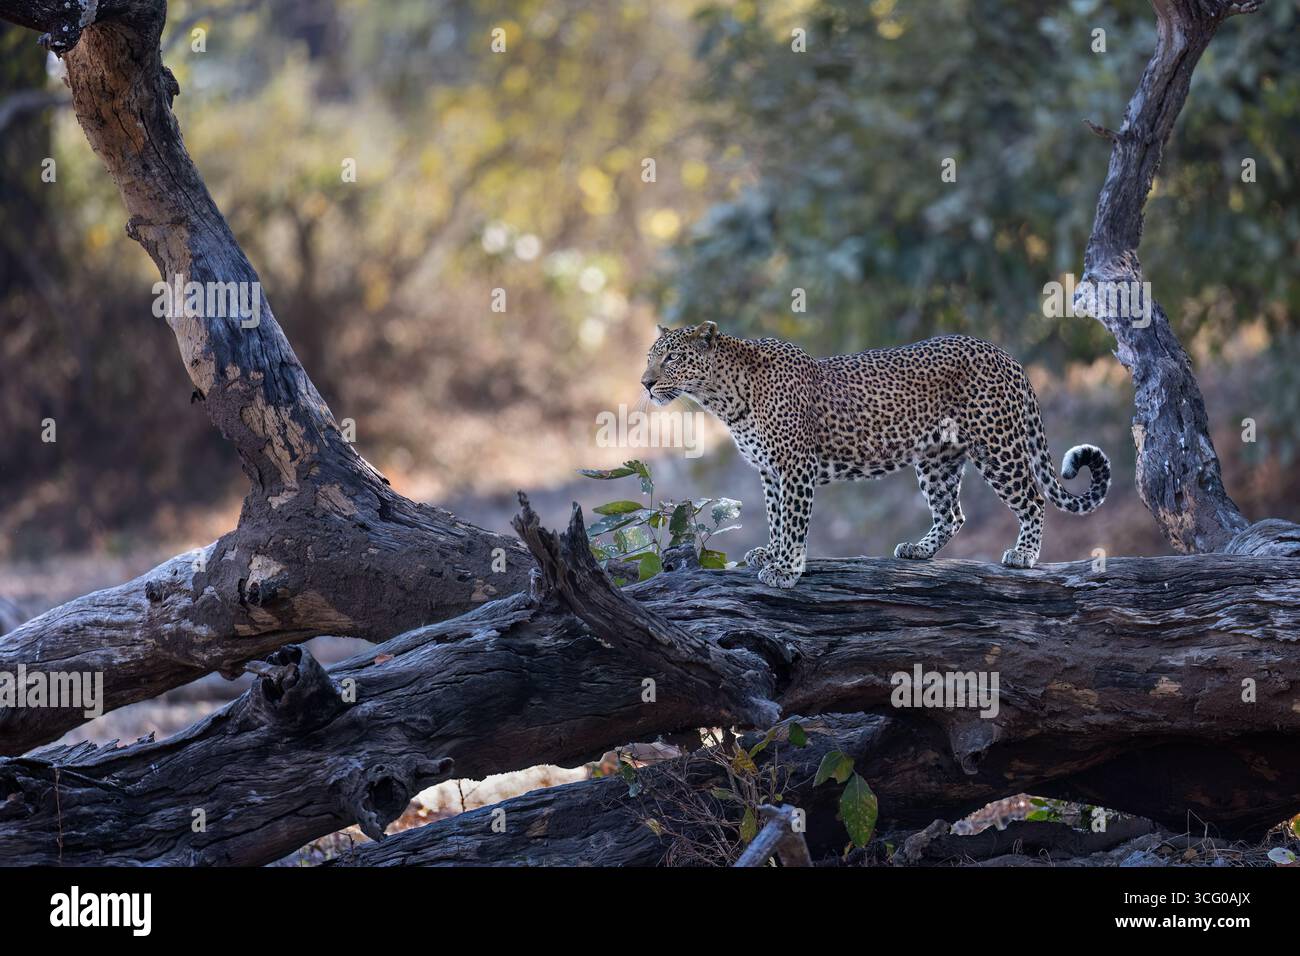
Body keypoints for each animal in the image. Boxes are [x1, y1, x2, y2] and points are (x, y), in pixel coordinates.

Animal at [641, 322, 1110, 588]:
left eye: (672, 357)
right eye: (650, 357)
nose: (645, 383)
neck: (723, 397)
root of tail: (1004, 354)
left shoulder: (795, 467)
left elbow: (793, 523)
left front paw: (786, 570)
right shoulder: (770, 472)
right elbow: (775, 516)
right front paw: (771, 554)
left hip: (997, 445)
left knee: (1032, 499)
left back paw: (1024, 555)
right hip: (936, 458)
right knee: (952, 513)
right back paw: (919, 550)